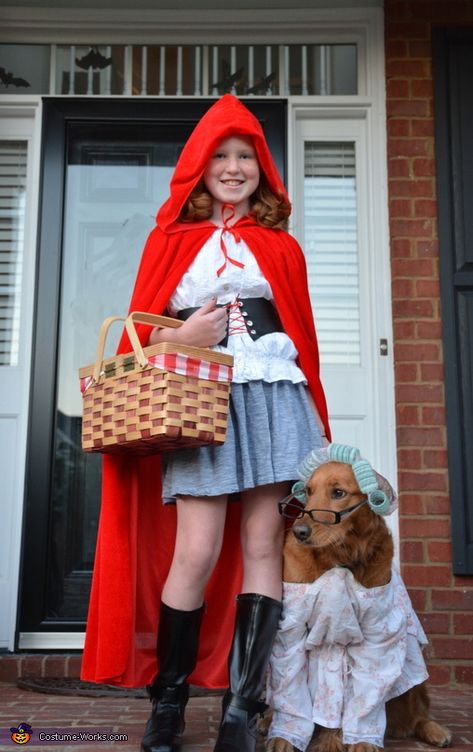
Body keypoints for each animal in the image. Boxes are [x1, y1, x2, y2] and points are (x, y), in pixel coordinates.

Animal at [264, 446, 452, 752]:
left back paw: (433, 730)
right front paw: (284, 736)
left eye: (338, 492)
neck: (339, 556)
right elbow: (291, 691)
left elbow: (361, 699)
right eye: (308, 491)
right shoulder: (290, 630)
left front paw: (358, 740)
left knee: (417, 714)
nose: (299, 532)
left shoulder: (378, 635)